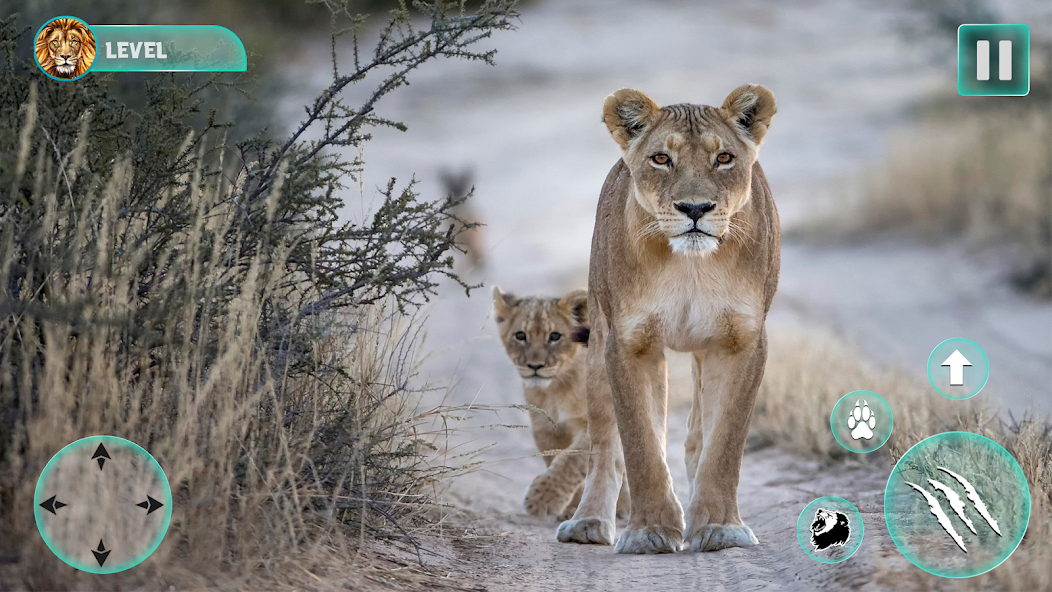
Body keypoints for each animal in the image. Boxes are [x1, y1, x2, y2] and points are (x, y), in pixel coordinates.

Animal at [493, 287, 628, 521]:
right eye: (520, 335)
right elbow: (558, 459)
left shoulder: (594, 422)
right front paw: (569, 508)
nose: (535, 366)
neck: (556, 389)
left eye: (555, 336)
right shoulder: (546, 429)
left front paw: (543, 499)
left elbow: (572, 461)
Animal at [555, 84, 779, 554]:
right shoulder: (628, 343)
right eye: (661, 159)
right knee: (605, 446)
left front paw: (719, 527)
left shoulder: (742, 341)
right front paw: (650, 531)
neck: (690, 266)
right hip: (597, 346)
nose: (695, 208)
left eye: (724, 158)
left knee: (696, 436)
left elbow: (724, 443)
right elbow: (640, 444)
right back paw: (588, 523)